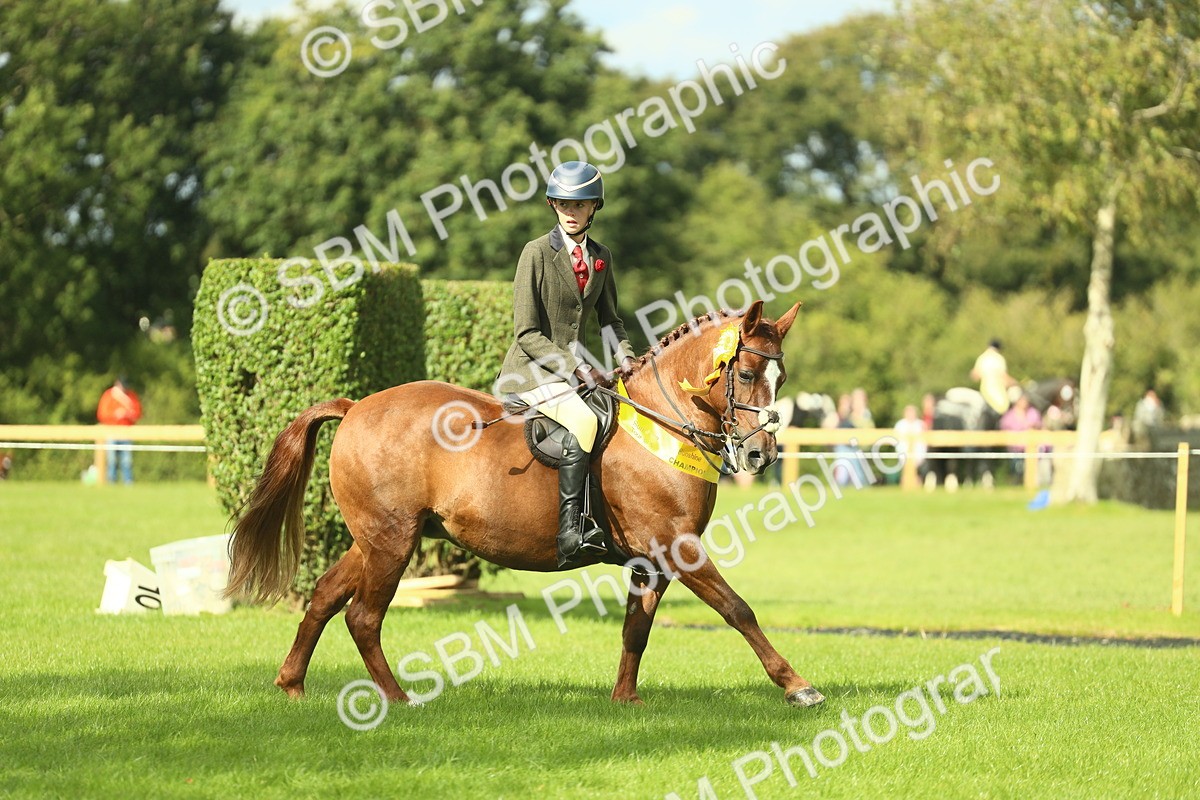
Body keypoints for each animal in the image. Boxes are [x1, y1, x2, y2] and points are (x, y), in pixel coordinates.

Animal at [223, 300, 826, 708]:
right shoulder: (678, 545)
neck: (661, 426)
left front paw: (624, 701)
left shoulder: (653, 559)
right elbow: (738, 610)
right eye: (744, 374)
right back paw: (397, 699)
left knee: (326, 595)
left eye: (783, 377)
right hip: (391, 541)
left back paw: (292, 684)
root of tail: (355, 408)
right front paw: (798, 686)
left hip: (376, 539)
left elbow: (636, 628)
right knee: (363, 616)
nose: (762, 454)